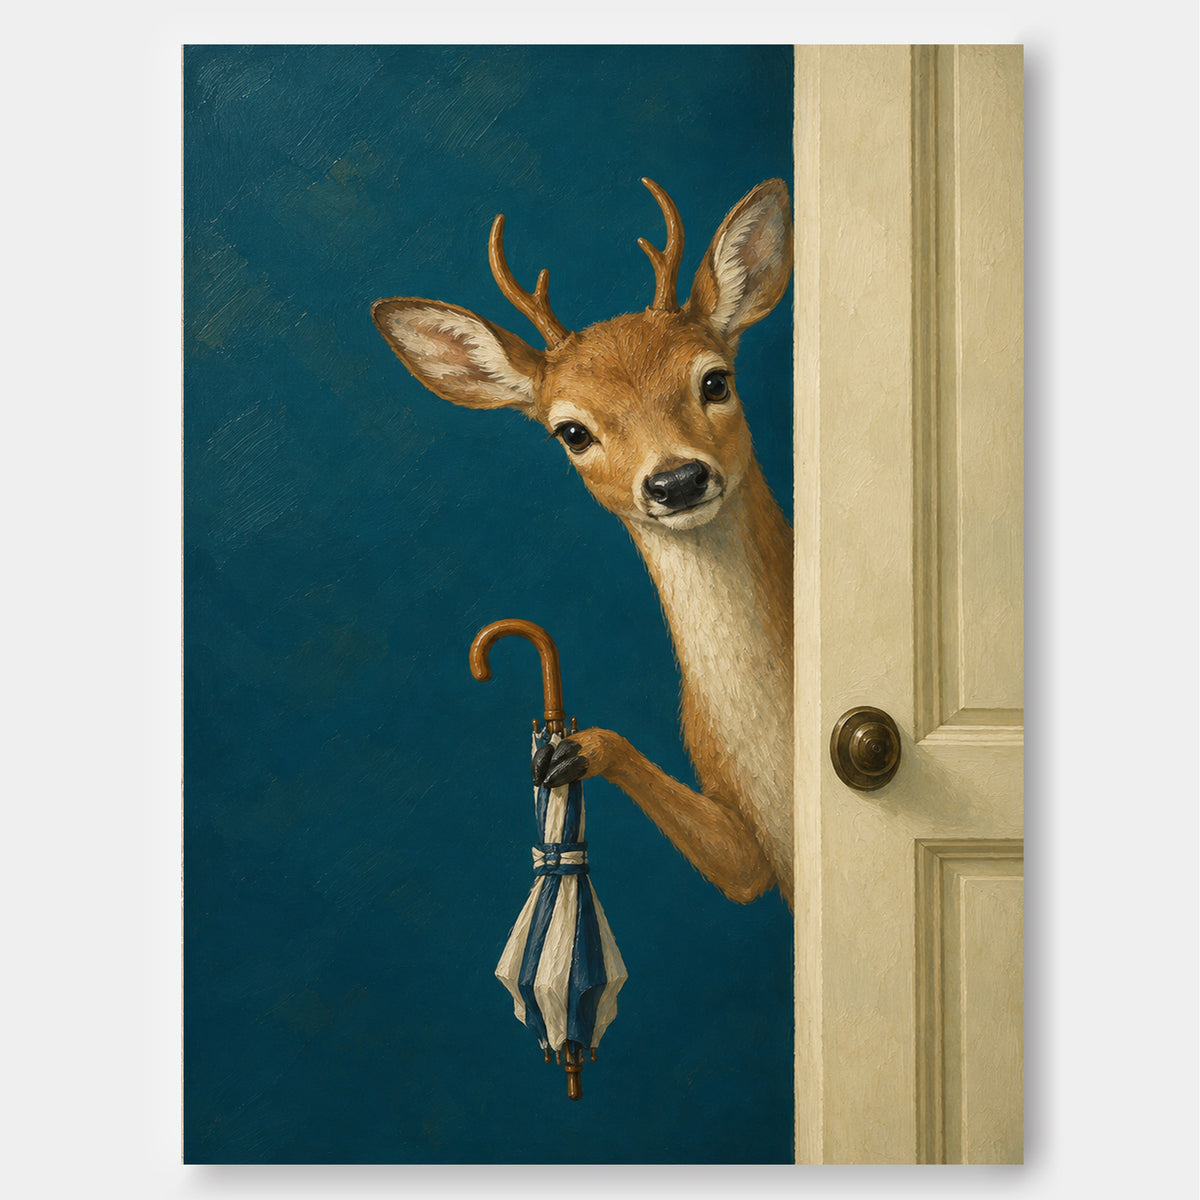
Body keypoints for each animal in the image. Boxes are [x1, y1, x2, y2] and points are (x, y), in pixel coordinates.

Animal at [372, 178, 794, 907]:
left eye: (715, 380)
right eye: (571, 431)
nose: (676, 480)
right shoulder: (754, 849)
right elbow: (738, 873)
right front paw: (568, 753)